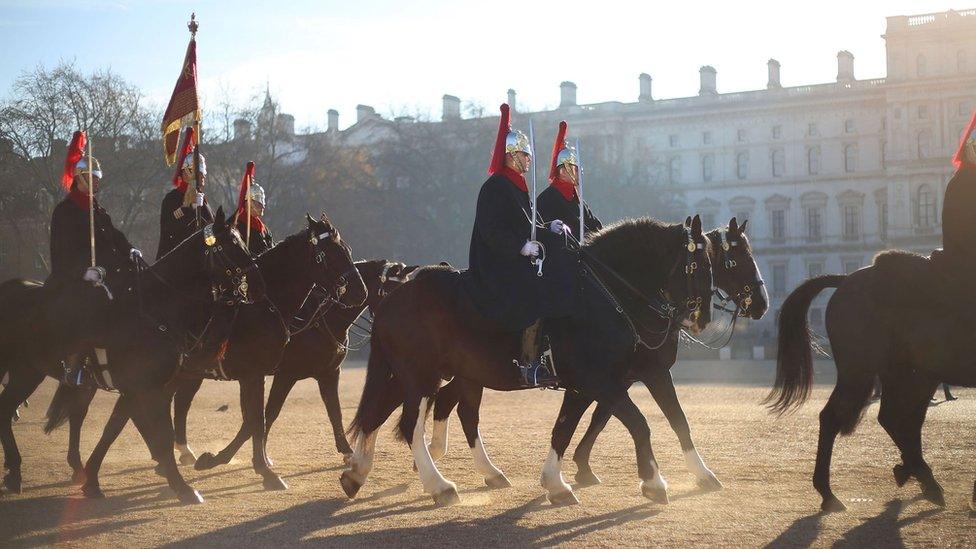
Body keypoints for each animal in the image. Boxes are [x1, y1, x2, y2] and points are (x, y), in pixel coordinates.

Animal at [0, 207, 260, 500]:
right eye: (230, 243)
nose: (255, 276)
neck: (156, 309)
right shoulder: (146, 387)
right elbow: (159, 434)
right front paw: (182, 486)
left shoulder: (138, 388)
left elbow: (115, 429)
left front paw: (93, 479)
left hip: (27, 371)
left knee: (8, 409)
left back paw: (18, 472)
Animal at [43, 214, 370, 492]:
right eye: (332, 253)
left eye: (347, 249)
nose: (360, 291)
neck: (266, 306)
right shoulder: (263, 375)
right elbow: (258, 419)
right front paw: (255, 468)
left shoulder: (286, 374)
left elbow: (263, 417)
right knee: (97, 411)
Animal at [340, 214, 712, 506]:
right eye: (696, 266)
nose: (702, 319)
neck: (603, 295)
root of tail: (395, 293)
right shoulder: (600, 381)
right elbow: (639, 423)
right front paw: (653, 481)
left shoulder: (601, 382)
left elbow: (566, 428)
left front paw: (556, 483)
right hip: (420, 376)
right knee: (408, 424)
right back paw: (438, 485)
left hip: (427, 375)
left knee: (388, 413)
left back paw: (359, 473)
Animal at [428, 216, 772, 498]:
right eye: (734, 261)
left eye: (717, 263)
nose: (762, 303)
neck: (615, 297)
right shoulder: (603, 378)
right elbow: (626, 420)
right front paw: (647, 478)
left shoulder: (640, 375)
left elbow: (666, 420)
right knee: (454, 407)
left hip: (470, 374)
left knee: (456, 406)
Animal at [772, 250, 976, 512]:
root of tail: (847, 279)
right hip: (865, 370)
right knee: (839, 417)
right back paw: (830, 492)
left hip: (909, 372)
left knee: (898, 419)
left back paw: (914, 473)